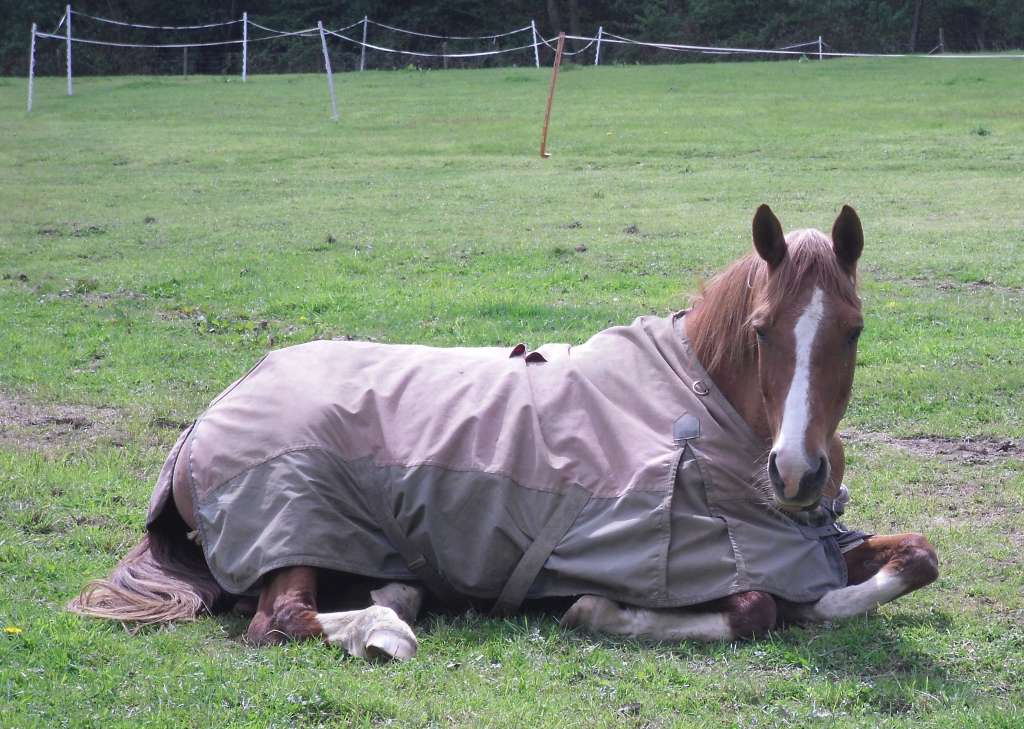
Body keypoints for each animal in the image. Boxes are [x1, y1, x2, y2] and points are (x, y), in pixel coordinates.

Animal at [70, 203, 937, 659]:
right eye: (761, 331)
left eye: (854, 330)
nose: (797, 472)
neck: (696, 410)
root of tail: (203, 422)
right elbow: (758, 608)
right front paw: (592, 610)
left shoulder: (806, 542)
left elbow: (918, 556)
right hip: (295, 518)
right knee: (277, 618)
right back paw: (384, 625)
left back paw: (394, 592)